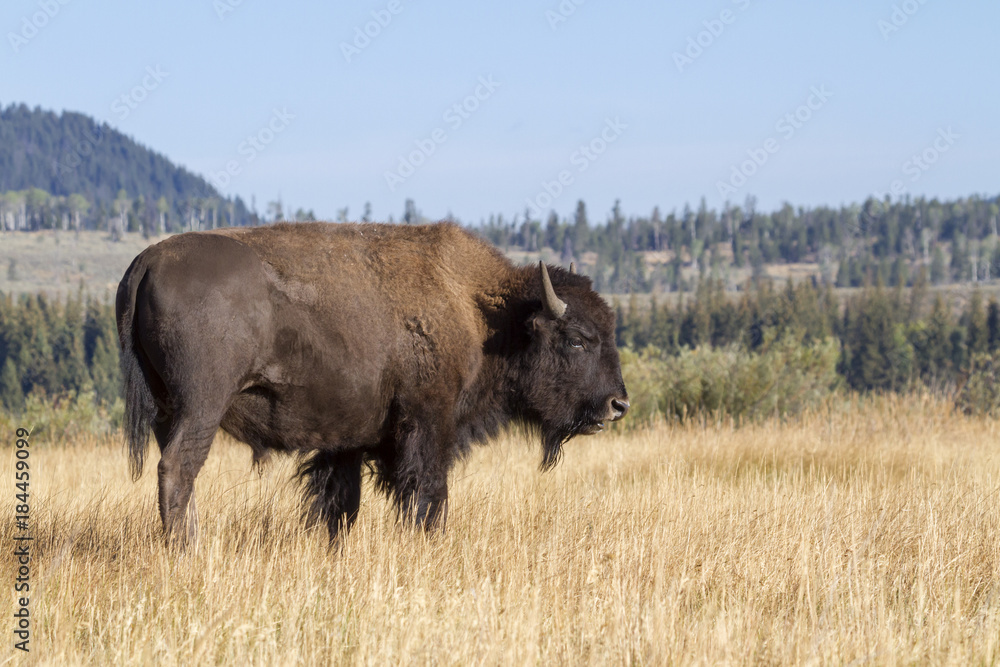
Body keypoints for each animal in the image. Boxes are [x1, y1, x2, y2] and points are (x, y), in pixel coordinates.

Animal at [117, 222, 628, 544]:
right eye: (578, 339)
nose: (617, 405)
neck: (484, 313)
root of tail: (146, 260)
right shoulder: (428, 423)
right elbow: (429, 494)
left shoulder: (345, 442)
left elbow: (340, 505)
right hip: (202, 406)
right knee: (177, 469)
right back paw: (186, 551)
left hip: (167, 409)